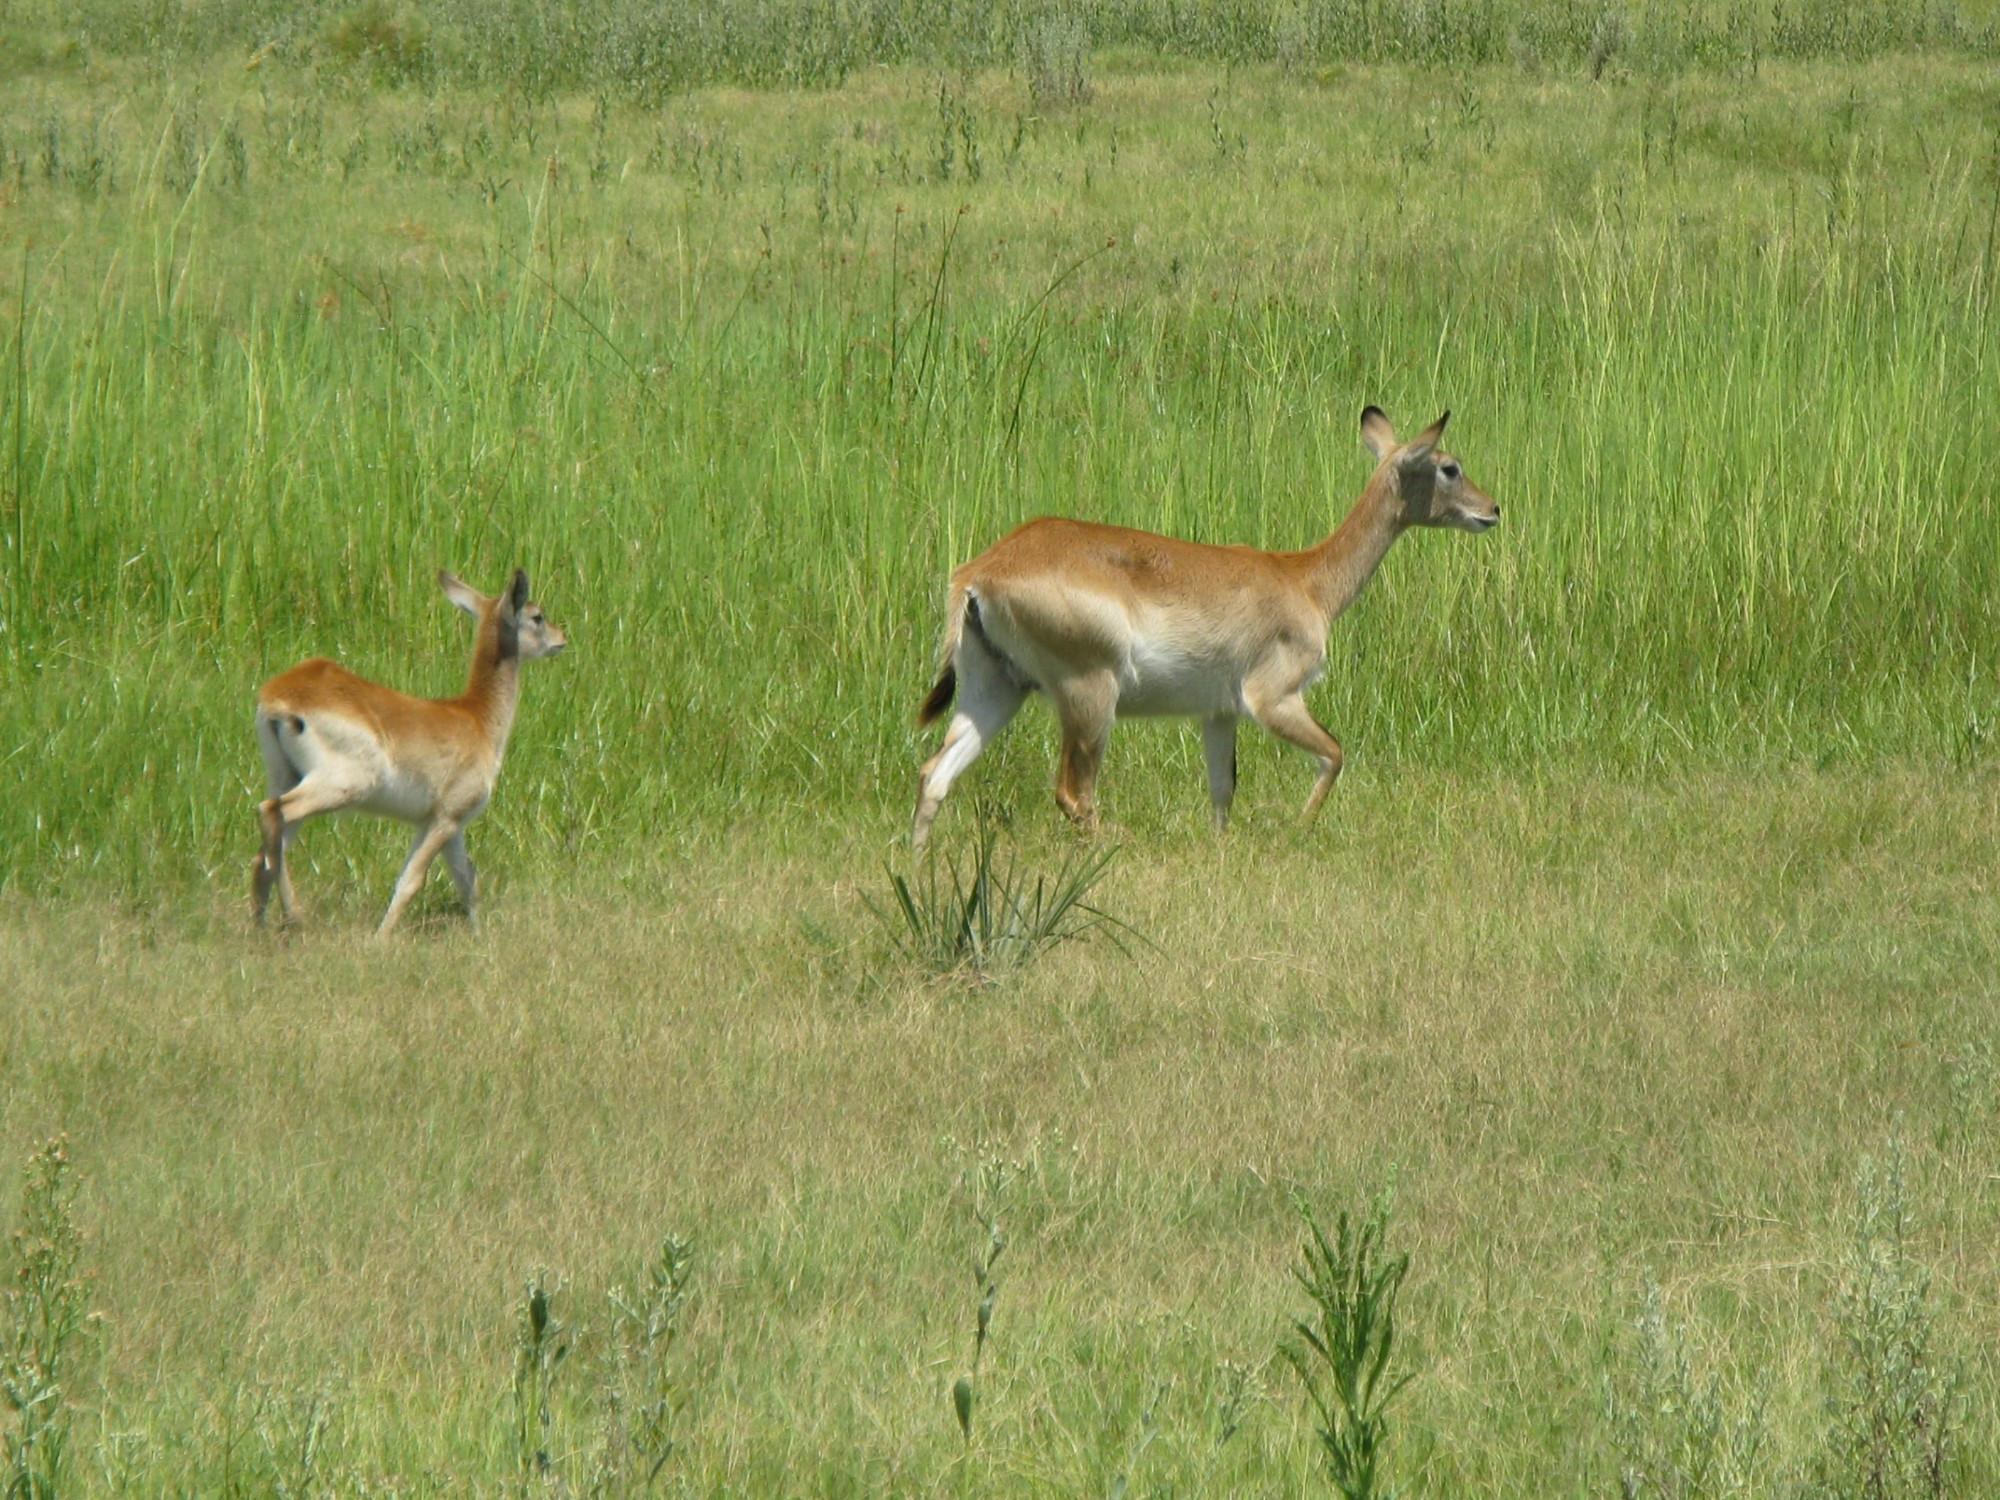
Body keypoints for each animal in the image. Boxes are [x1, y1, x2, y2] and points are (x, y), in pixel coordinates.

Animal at [250, 572, 568, 940]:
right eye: (537, 615)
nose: (562, 638)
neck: (477, 719)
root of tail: (280, 698)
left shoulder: (449, 825)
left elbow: (468, 882)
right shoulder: (445, 818)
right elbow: (411, 880)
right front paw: (380, 940)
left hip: (286, 777)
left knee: (266, 850)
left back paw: (261, 923)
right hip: (341, 785)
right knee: (271, 812)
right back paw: (295, 917)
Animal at [916, 406, 1496, 852]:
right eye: (1449, 466)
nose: (1492, 509)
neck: (1305, 581)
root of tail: (979, 574)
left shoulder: (1218, 712)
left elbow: (1222, 791)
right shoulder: (1272, 698)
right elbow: (1334, 753)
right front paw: (1297, 832)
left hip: (997, 688)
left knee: (934, 774)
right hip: (1090, 696)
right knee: (1073, 794)